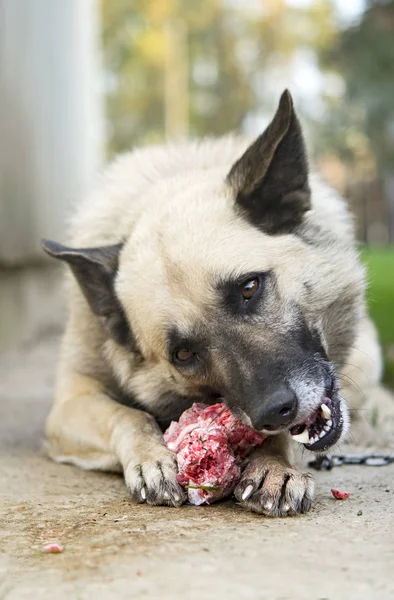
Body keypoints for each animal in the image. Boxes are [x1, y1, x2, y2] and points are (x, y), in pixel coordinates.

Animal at [42, 91, 384, 516]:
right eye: (183, 354)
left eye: (250, 287)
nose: (273, 412)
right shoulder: (71, 403)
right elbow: (127, 415)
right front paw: (150, 457)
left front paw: (274, 464)